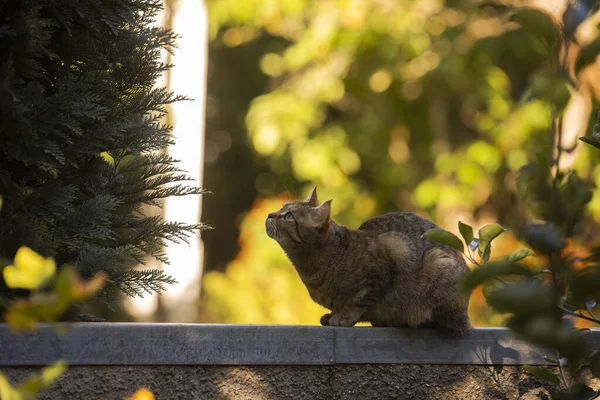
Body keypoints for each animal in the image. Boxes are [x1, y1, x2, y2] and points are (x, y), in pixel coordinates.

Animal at [264, 187, 472, 334]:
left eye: (288, 216)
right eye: (282, 207)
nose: (269, 214)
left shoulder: (390, 254)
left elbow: (359, 301)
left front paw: (343, 316)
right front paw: (333, 314)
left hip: (438, 265)